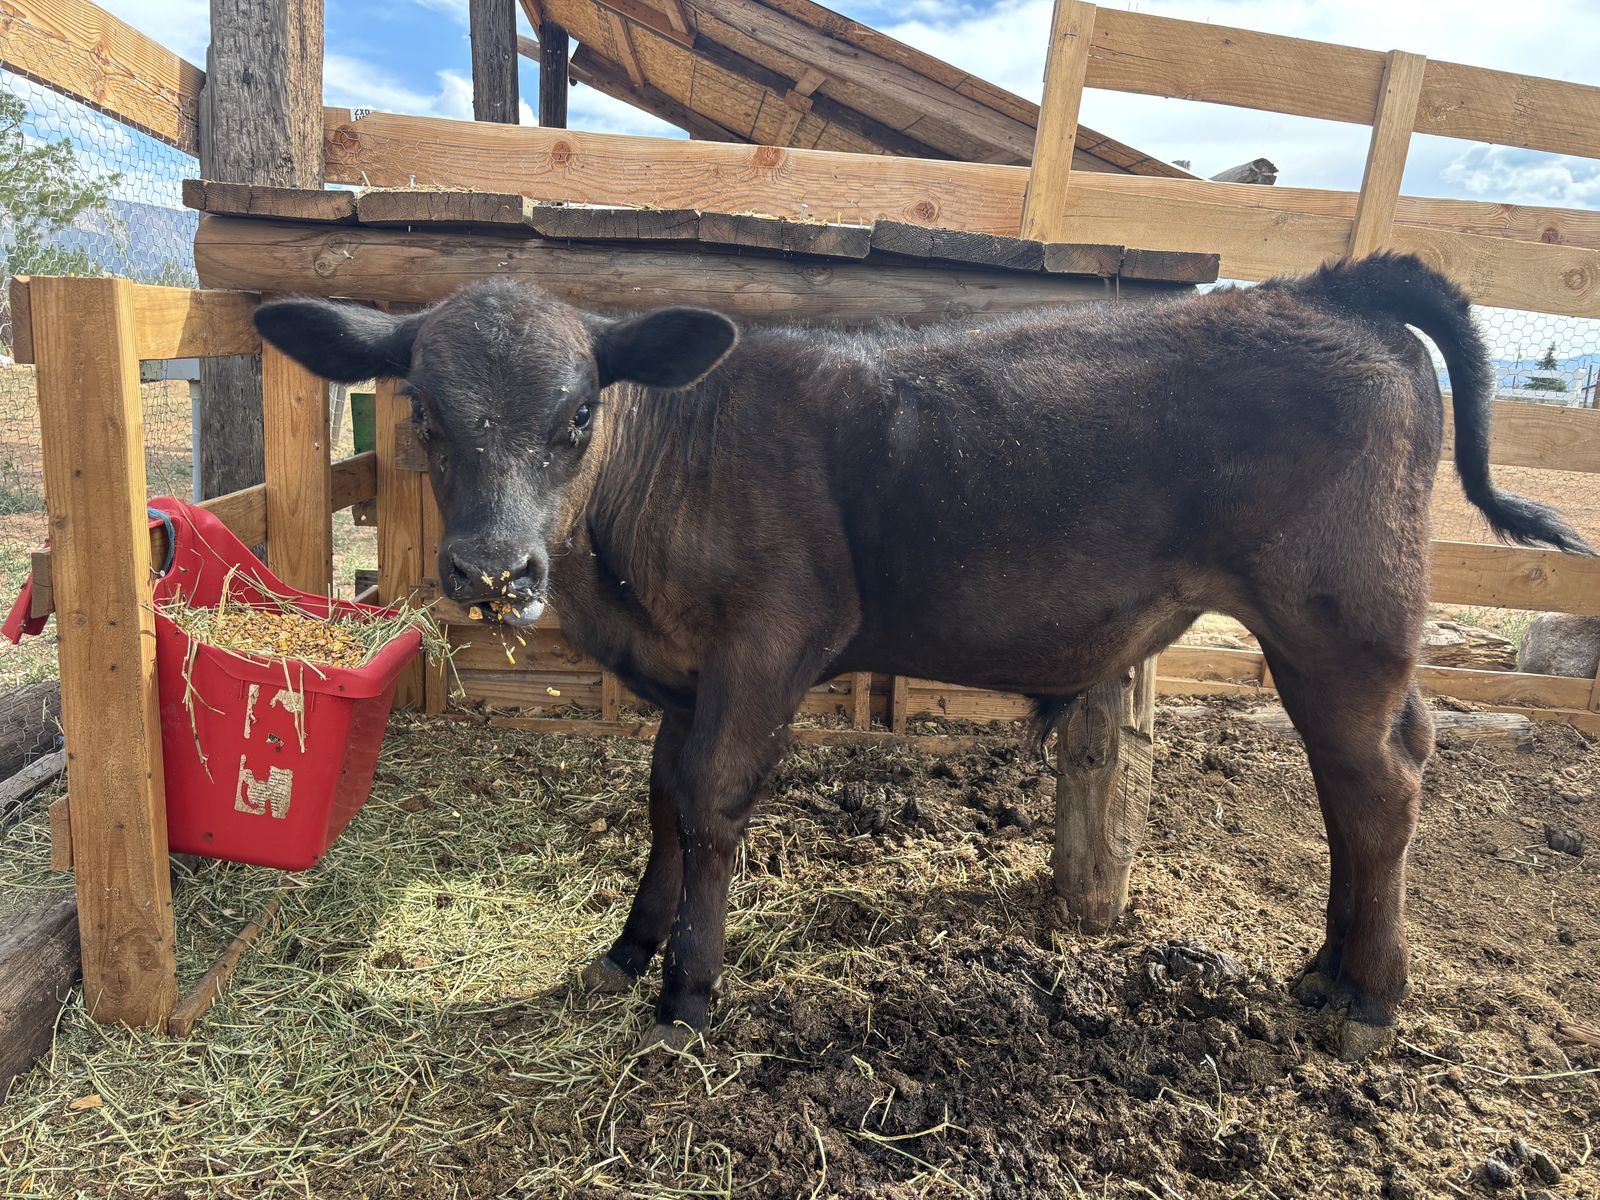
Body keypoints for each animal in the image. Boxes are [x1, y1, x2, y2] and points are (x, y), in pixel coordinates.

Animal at [254, 253, 1590, 1061]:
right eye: (423, 413)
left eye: (579, 414)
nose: (492, 571)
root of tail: (1325, 290)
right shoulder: (687, 669)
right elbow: (663, 799)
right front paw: (629, 948)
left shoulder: (772, 641)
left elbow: (714, 802)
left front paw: (689, 991)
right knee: (1369, 778)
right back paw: (1328, 969)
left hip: (1342, 621)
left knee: (1377, 784)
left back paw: (1365, 994)